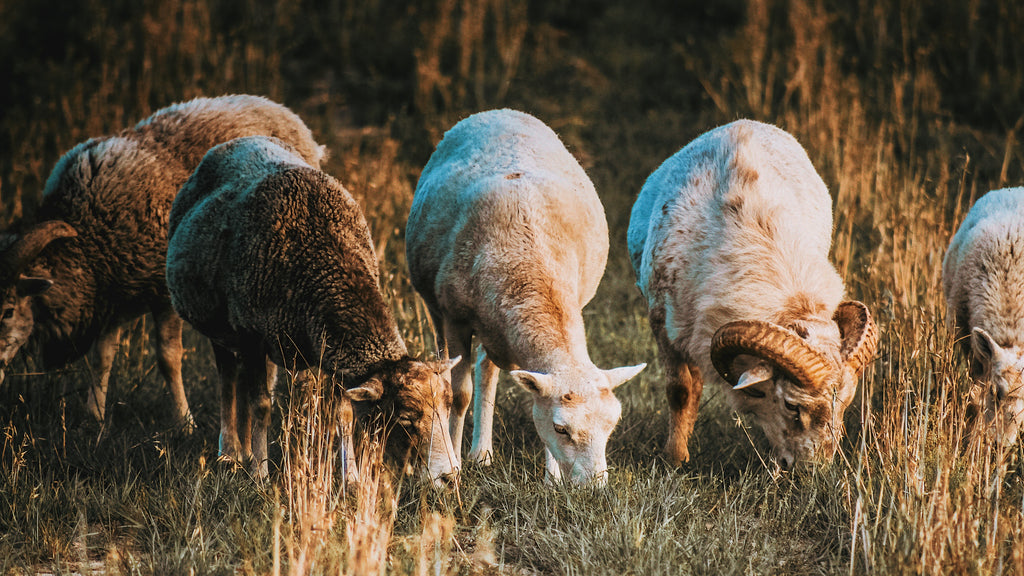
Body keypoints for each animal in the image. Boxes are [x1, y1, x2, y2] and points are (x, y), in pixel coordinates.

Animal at [0, 94, 323, 426]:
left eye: (8, 311)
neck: (86, 242)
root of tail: (273, 105)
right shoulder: (114, 294)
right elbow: (103, 357)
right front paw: (96, 416)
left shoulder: (163, 292)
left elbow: (168, 358)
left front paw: (185, 422)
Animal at [166, 136, 460, 481]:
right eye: (405, 419)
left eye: (448, 408)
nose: (450, 477)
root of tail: (239, 140)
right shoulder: (252, 336)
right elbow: (261, 405)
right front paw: (260, 473)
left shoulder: (334, 352)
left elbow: (343, 413)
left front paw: (351, 478)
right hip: (220, 326)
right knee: (228, 381)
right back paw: (230, 453)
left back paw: (243, 451)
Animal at [403, 108, 643, 483]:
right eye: (561, 429)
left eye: (612, 425)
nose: (594, 487)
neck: (530, 271)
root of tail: (500, 112)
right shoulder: (456, 318)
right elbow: (458, 395)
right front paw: (453, 465)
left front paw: (551, 479)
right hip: (436, 307)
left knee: (487, 369)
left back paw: (482, 453)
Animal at [626, 119, 876, 467]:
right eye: (791, 405)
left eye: (846, 403)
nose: (814, 471)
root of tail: (744, 123)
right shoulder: (663, 324)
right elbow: (680, 391)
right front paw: (675, 459)